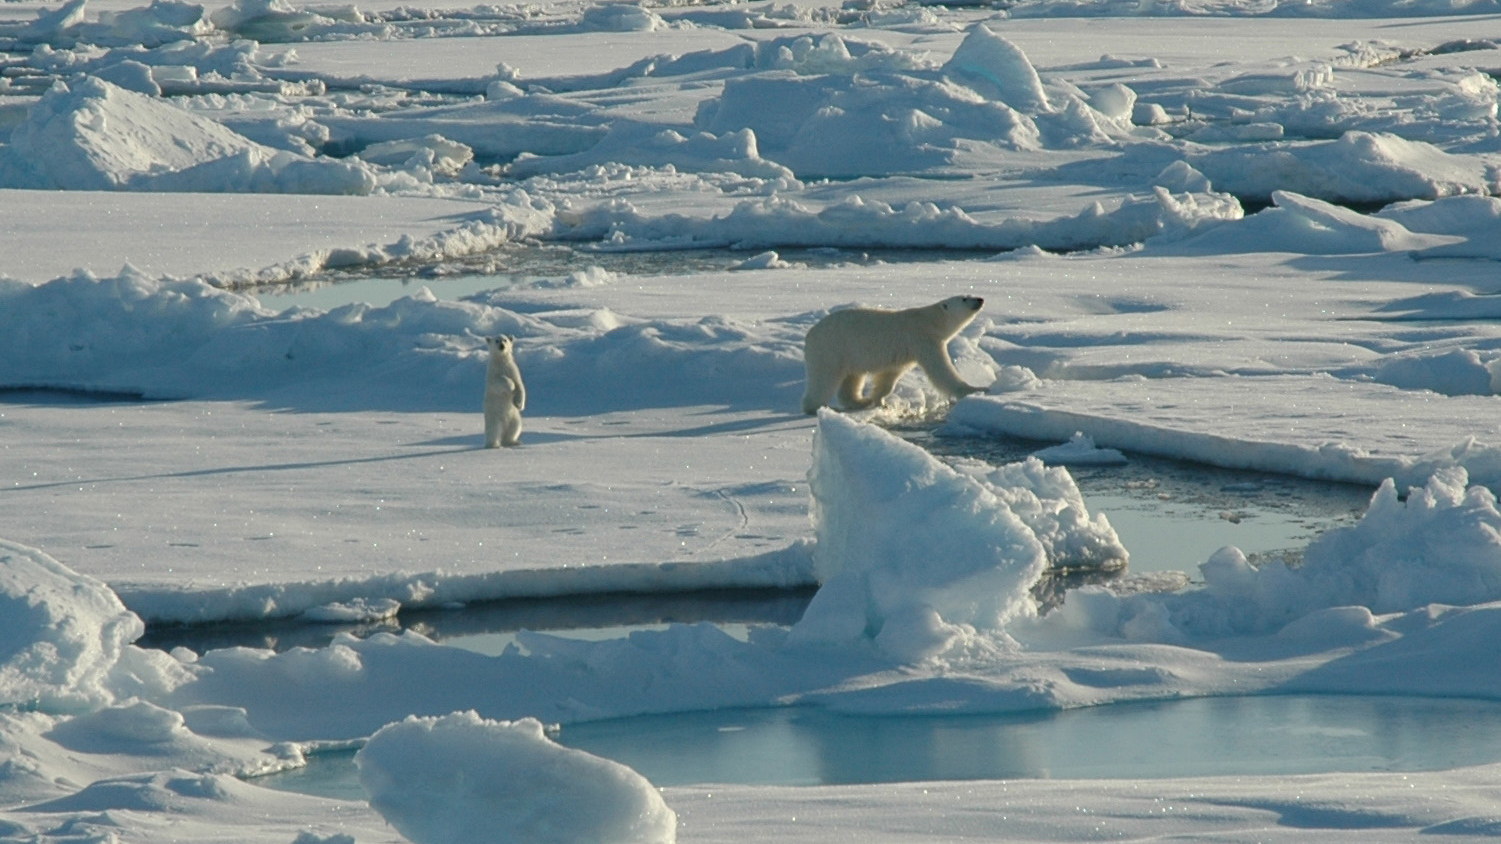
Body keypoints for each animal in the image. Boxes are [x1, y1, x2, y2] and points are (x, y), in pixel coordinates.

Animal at [801, 294, 986, 415]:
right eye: (964, 298)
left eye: (969, 294)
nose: (980, 299)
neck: (931, 320)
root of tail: (810, 335)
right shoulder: (922, 339)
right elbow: (940, 370)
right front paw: (975, 389)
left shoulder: (903, 353)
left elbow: (889, 376)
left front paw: (878, 400)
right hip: (831, 348)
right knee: (824, 378)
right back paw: (818, 407)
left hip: (849, 354)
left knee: (852, 378)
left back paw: (860, 401)